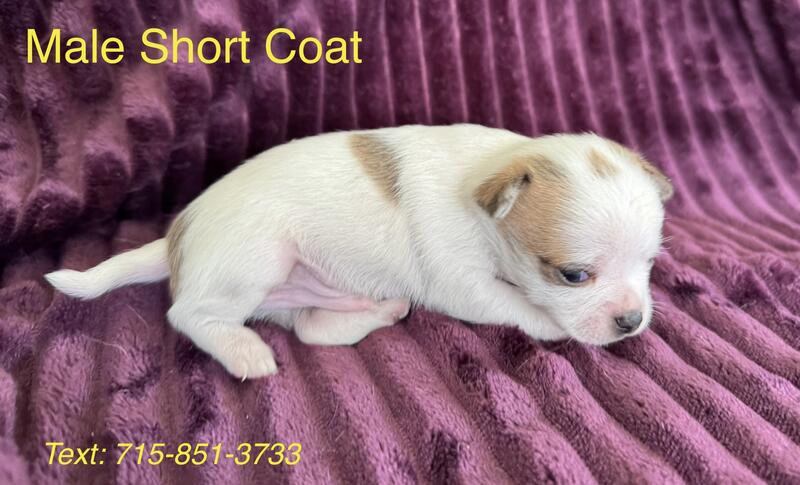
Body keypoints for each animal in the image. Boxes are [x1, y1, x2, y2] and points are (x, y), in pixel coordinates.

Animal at [45, 124, 673, 379]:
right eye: (574, 276)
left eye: (649, 264)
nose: (631, 321)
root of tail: (178, 236)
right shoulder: (463, 285)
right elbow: (519, 307)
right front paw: (554, 327)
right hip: (256, 258)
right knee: (190, 315)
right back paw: (244, 350)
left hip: (303, 290)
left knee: (311, 328)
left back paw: (382, 309)